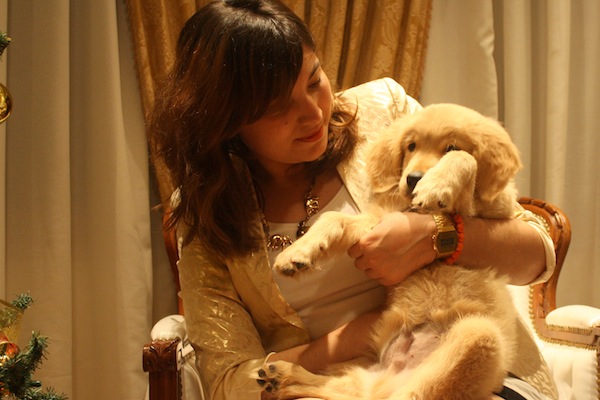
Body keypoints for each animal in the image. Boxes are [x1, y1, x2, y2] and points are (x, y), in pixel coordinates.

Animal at [255, 103, 523, 400]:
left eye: (450, 147)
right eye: (411, 146)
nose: (414, 180)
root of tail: (394, 373)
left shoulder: (484, 207)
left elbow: (467, 159)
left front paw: (436, 185)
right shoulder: (379, 221)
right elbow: (333, 218)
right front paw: (296, 253)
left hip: (478, 334)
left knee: (415, 392)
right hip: (361, 370)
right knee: (351, 392)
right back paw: (282, 376)